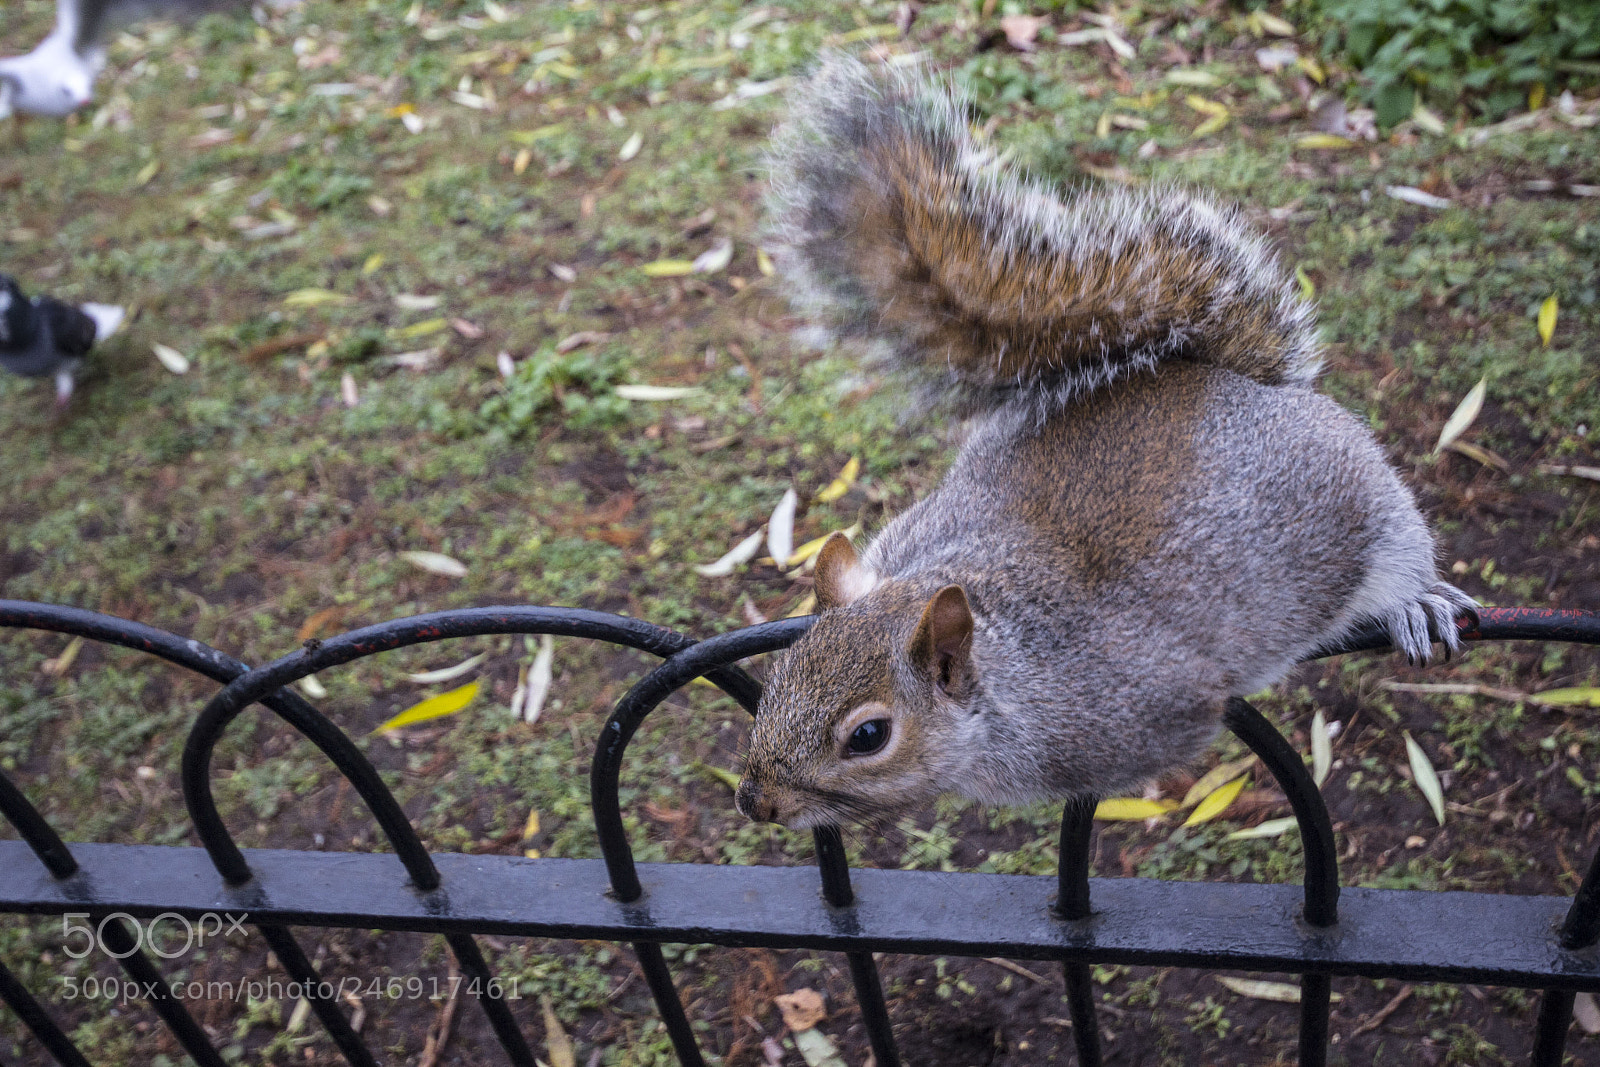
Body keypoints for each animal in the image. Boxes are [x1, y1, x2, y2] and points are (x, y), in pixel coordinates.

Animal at [733, 56, 1478, 829]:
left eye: (868, 736)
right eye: (781, 670)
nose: (754, 800)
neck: (1007, 669)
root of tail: (1232, 379)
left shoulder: (1144, 711)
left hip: (1374, 508)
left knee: (1401, 557)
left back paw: (1413, 603)